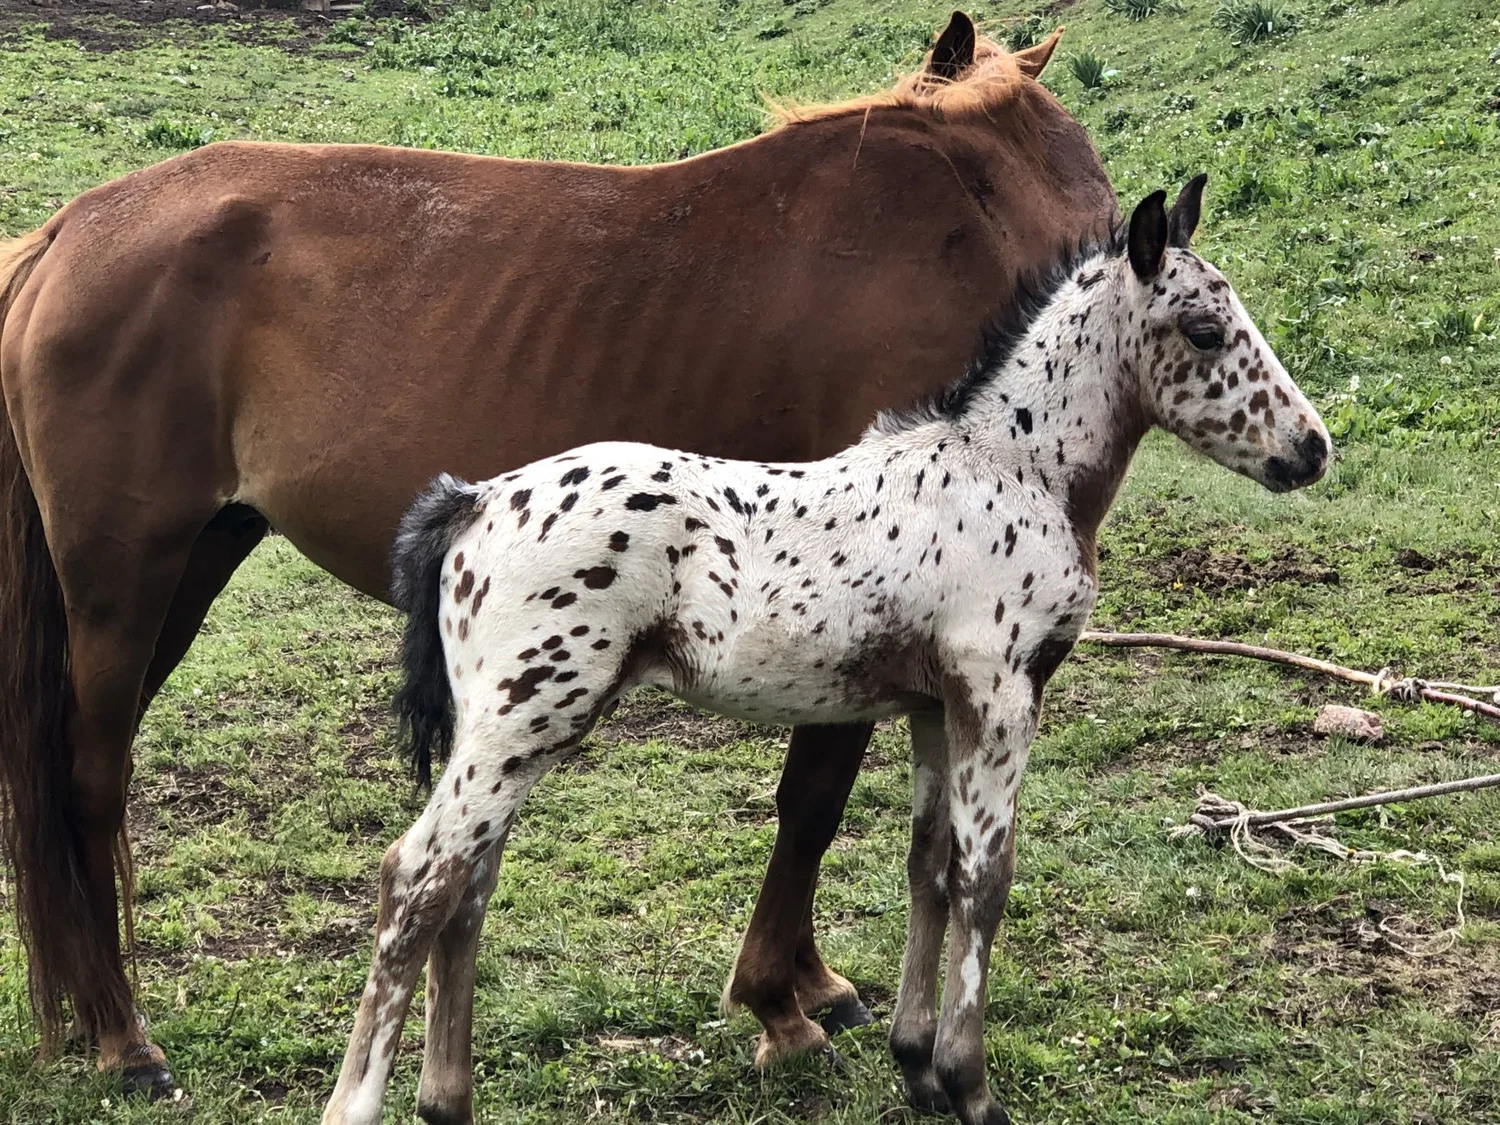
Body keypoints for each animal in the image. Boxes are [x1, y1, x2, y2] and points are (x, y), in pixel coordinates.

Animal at [0, 10, 1116, 1101]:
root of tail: (65, 234)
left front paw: (806, 985)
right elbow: (812, 802)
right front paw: (781, 1002)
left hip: (191, 566)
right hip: (124, 587)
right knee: (88, 781)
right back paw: (121, 1036)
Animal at [323, 178, 1330, 1125]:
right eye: (1205, 329)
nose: (1311, 449)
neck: (1013, 473)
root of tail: (475, 501)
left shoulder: (935, 708)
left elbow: (929, 867)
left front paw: (917, 1065)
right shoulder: (1001, 696)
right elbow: (985, 878)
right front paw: (971, 1087)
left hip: (513, 732)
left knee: (468, 885)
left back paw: (447, 1101)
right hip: (521, 720)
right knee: (418, 879)